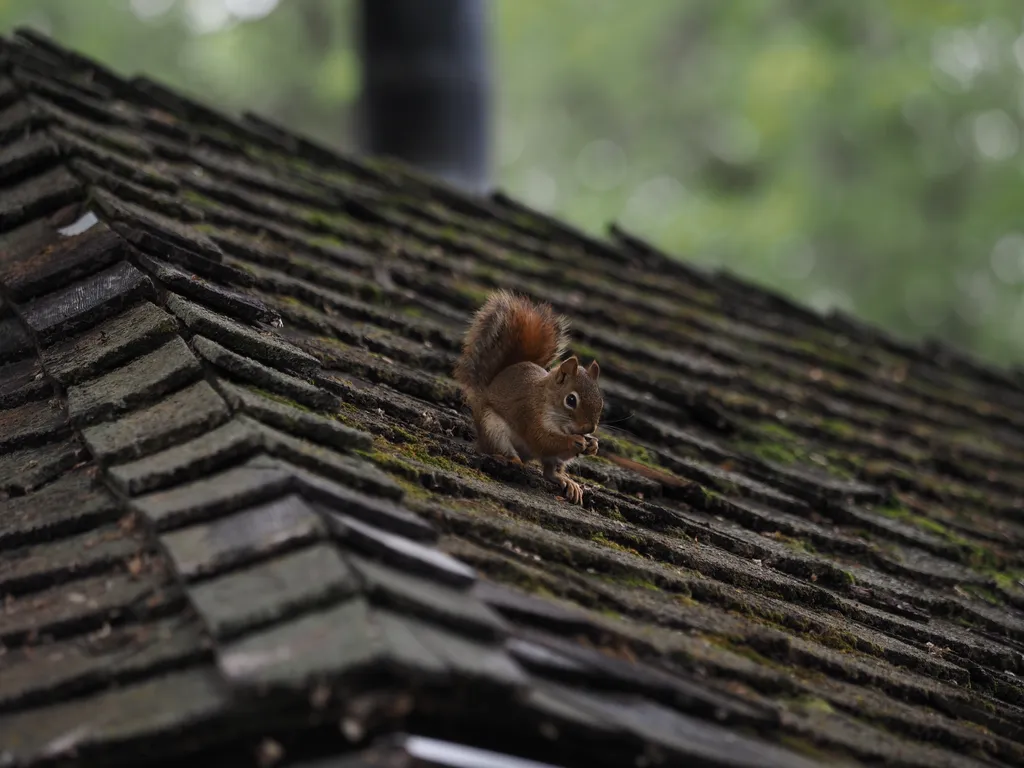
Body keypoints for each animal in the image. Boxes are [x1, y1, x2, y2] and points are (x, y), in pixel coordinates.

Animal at [452, 290, 602, 505]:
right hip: (492, 428)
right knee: (497, 449)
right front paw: (574, 441)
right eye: (571, 400)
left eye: (600, 401)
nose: (589, 428)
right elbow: (542, 440)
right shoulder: (529, 413)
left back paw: (567, 482)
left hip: (549, 460)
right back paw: (509, 459)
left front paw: (593, 445)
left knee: (549, 473)